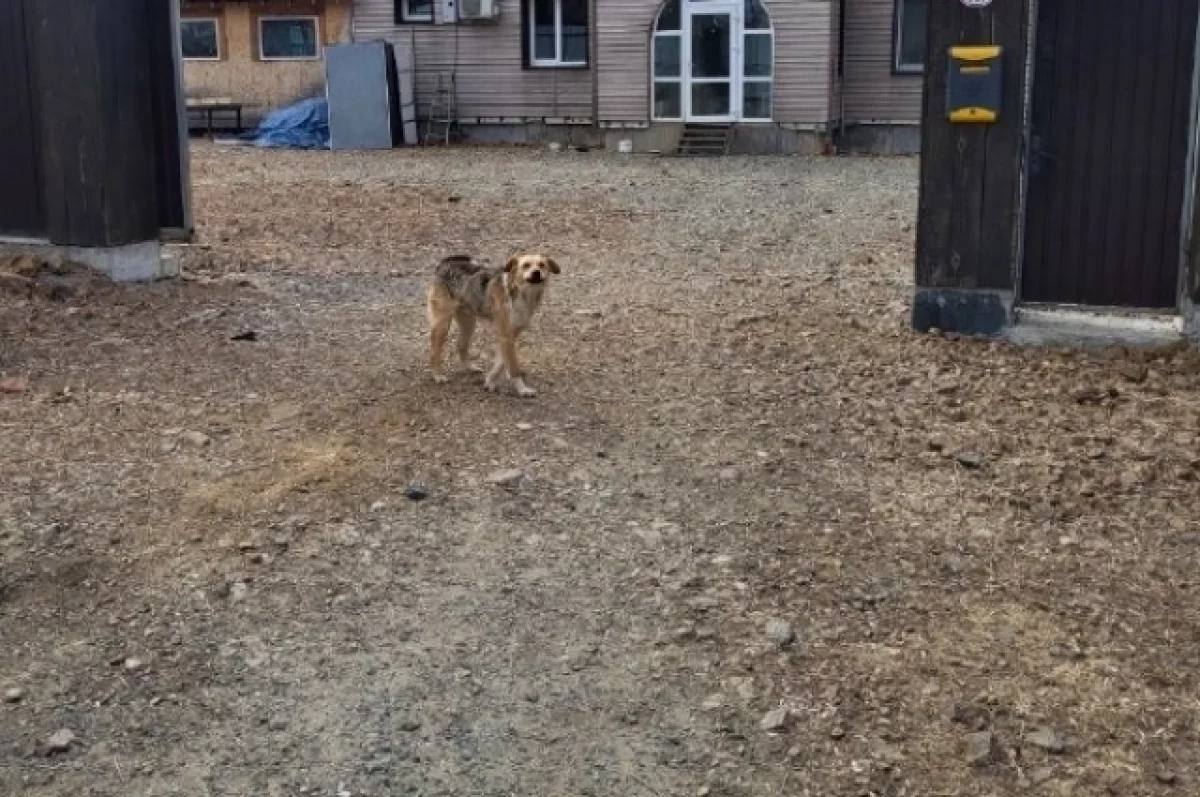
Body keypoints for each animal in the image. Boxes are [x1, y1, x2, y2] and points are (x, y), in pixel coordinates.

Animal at [429, 253, 559, 396]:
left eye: (542, 265)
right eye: (526, 265)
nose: (536, 272)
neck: (521, 293)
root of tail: (445, 261)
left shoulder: (511, 335)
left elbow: (501, 362)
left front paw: (490, 381)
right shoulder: (506, 335)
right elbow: (513, 366)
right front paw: (522, 389)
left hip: (468, 322)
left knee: (461, 345)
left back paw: (470, 367)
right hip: (443, 323)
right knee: (434, 350)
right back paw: (437, 375)